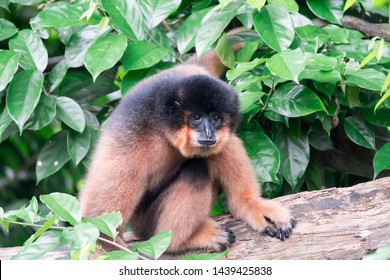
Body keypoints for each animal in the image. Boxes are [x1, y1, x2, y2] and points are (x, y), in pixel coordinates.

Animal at [77, 44, 294, 254]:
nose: (208, 132)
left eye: (216, 118)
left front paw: (251, 203)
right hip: (145, 223)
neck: (162, 128)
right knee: (196, 171)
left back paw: (246, 203)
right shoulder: (131, 136)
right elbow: (100, 229)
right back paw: (180, 243)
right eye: (196, 117)